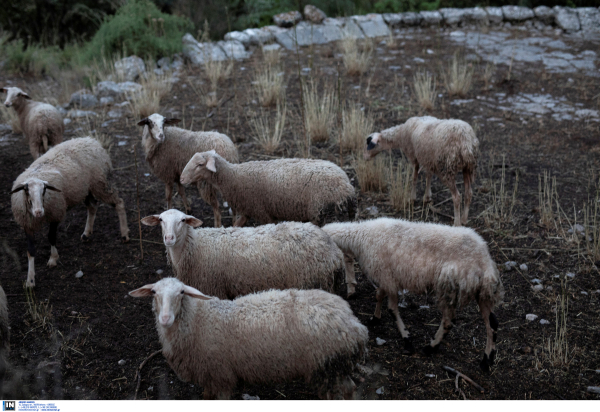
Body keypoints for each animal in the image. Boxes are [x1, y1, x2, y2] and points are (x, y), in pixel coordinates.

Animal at [10, 136, 130, 286]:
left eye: (44, 190)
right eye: (26, 190)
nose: (38, 212)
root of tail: (91, 140)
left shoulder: (56, 213)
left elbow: (51, 236)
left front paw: (53, 258)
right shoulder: (27, 224)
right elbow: (30, 251)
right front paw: (30, 280)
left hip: (100, 183)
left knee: (119, 203)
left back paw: (124, 234)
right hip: (86, 188)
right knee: (92, 206)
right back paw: (86, 234)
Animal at [129, 276, 368, 400]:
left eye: (181, 293)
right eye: (154, 293)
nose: (165, 318)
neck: (198, 320)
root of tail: (354, 323)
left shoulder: (221, 375)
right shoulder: (208, 376)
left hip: (327, 365)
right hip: (332, 367)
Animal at [141, 211, 352, 298]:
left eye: (183, 220)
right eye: (160, 220)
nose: (169, 238)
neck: (195, 247)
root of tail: (332, 249)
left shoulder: (215, 288)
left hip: (311, 281)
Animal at [180, 150, 354, 227]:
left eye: (200, 164)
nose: (181, 179)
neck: (233, 177)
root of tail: (346, 185)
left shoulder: (263, 213)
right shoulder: (248, 210)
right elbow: (236, 226)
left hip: (322, 213)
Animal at [322, 217, 504, 372]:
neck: (361, 236)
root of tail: (484, 260)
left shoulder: (387, 277)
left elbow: (392, 309)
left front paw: (407, 340)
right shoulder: (385, 278)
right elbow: (378, 295)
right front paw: (375, 318)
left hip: (448, 287)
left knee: (448, 321)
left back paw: (431, 347)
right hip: (483, 293)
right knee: (492, 323)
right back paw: (487, 360)